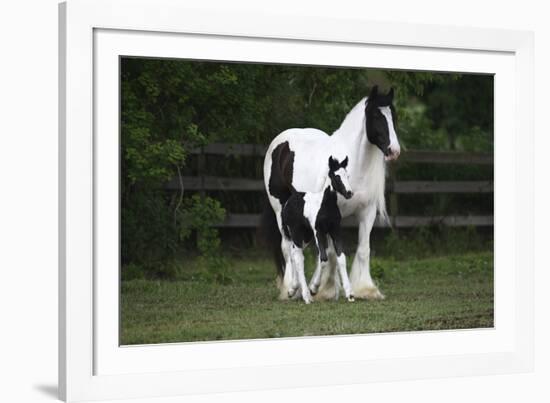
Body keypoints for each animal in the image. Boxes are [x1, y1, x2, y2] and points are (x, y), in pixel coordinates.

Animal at [282, 156, 356, 304]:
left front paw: (350, 294)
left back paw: (292, 289)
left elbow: (341, 258)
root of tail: (292, 196)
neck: (326, 205)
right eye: (337, 176)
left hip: (306, 236)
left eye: (347, 175)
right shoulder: (319, 232)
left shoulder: (335, 231)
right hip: (296, 233)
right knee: (298, 258)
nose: (349, 193)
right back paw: (306, 296)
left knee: (294, 254)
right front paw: (313, 288)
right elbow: (323, 259)